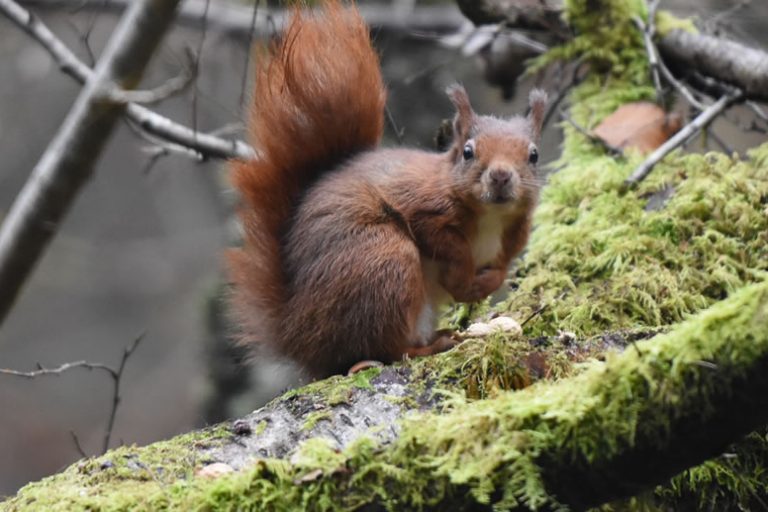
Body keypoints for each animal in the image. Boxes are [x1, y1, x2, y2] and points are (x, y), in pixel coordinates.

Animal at [228, 0, 547, 379]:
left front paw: (484, 284)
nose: (500, 176)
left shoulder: (513, 237)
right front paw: (462, 280)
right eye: (468, 152)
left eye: (534, 155)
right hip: (383, 261)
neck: (490, 218)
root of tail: (298, 334)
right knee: (387, 350)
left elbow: (500, 269)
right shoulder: (424, 205)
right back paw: (429, 346)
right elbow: (447, 244)